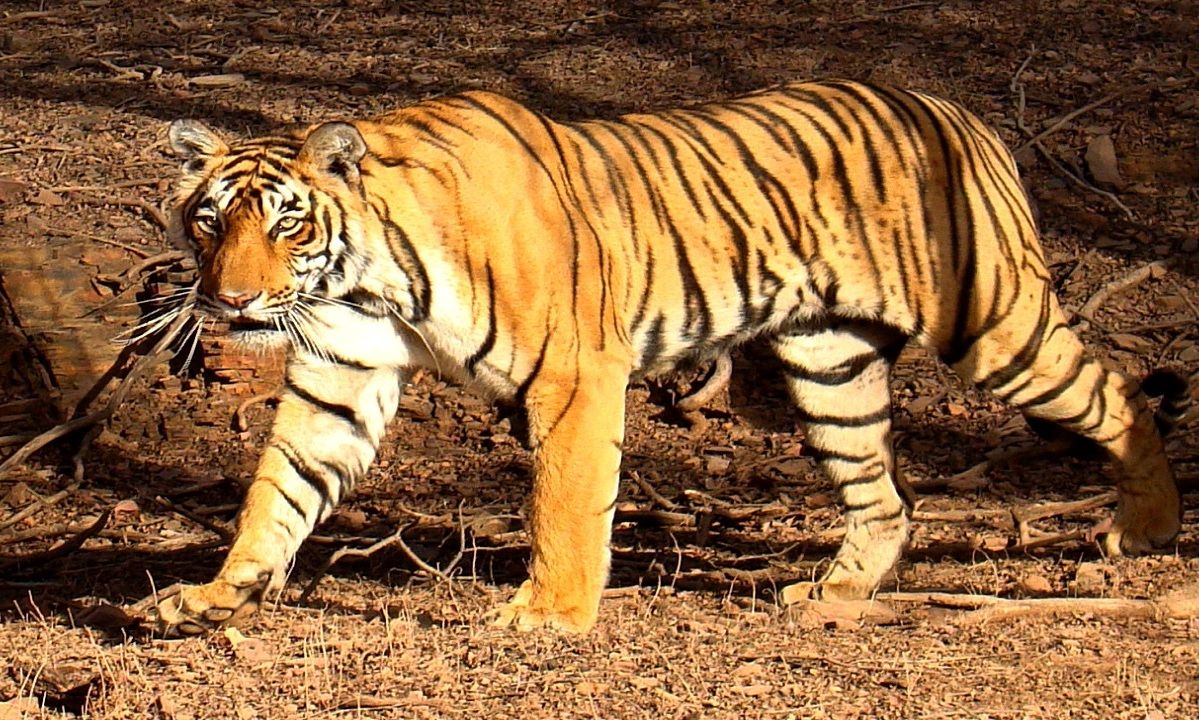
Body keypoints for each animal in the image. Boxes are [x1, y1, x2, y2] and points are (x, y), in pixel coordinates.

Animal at [152, 75, 1189, 632]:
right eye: (210, 221)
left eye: (286, 225)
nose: (229, 300)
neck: (364, 278)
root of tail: (958, 112)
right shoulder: (342, 373)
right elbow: (278, 492)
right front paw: (215, 595)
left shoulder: (574, 374)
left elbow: (564, 501)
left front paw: (551, 615)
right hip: (831, 365)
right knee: (884, 496)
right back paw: (836, 591)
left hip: (993, 324)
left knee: (1118, 394)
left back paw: (1148, 526)